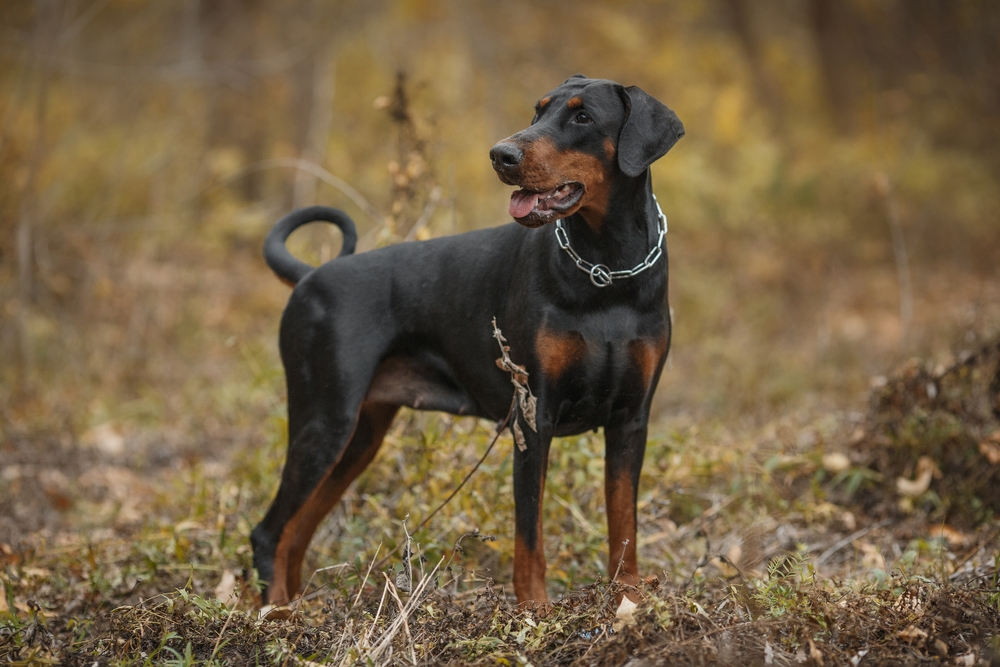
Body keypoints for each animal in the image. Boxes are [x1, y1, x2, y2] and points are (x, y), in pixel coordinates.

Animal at [254, 75, 684, 608]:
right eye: (539, 110)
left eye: (583, 116)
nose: (501, 154)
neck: (607, 272)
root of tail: (310, 277)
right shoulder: (533, 416)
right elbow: (529, 536)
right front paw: (535, 610)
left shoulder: (630, 421)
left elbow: (624, 523)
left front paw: (627, 599)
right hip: (324, 422)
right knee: (270, 533)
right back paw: (277, 615)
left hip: (359, 437)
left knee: (296, 532)